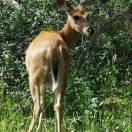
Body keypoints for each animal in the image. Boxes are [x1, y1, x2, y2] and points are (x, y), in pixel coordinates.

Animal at [25, 0, 94, 131]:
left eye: (88, 15)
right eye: (76, 16)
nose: (90, 30)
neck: (63, 36)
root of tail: (55, 48)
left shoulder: (42, 82)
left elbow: (43, 104)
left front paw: (39, 128)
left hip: (35, 75)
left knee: (38, 106)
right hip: (65, 72)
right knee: (58, 105)